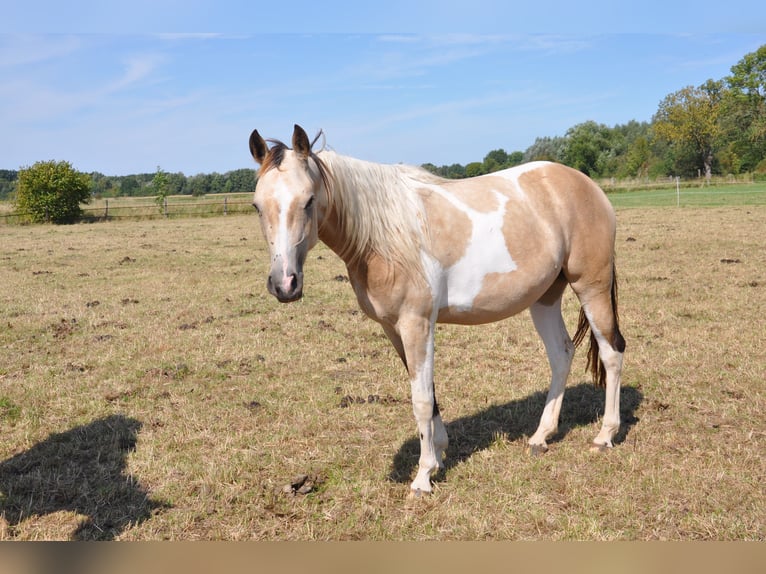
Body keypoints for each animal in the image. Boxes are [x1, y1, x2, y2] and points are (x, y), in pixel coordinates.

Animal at [248, 124, 625, 495]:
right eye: (257, 206)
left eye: (309, 200)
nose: (285, 284)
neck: (384, 238)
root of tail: (588, 185)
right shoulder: (394, 328)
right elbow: (429, 394)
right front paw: (440, 454)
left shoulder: (416, 323)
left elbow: (420, 400)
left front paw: (423, 476)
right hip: (544, 297)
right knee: (561, 353)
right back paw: (540, 437)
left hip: (591, 286)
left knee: (611, 352)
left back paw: (605, 435)